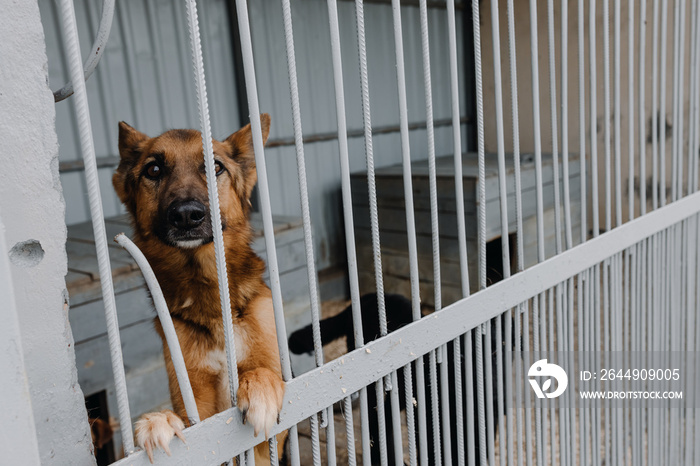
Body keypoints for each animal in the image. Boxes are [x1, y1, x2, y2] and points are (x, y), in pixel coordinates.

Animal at [114, 114, 288, 462]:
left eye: (215, 166)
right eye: (154, 169)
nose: (186, 216)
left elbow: (262, 373)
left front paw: (260, 389)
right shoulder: (198, 409)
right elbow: (186, 421)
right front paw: (161, 420)